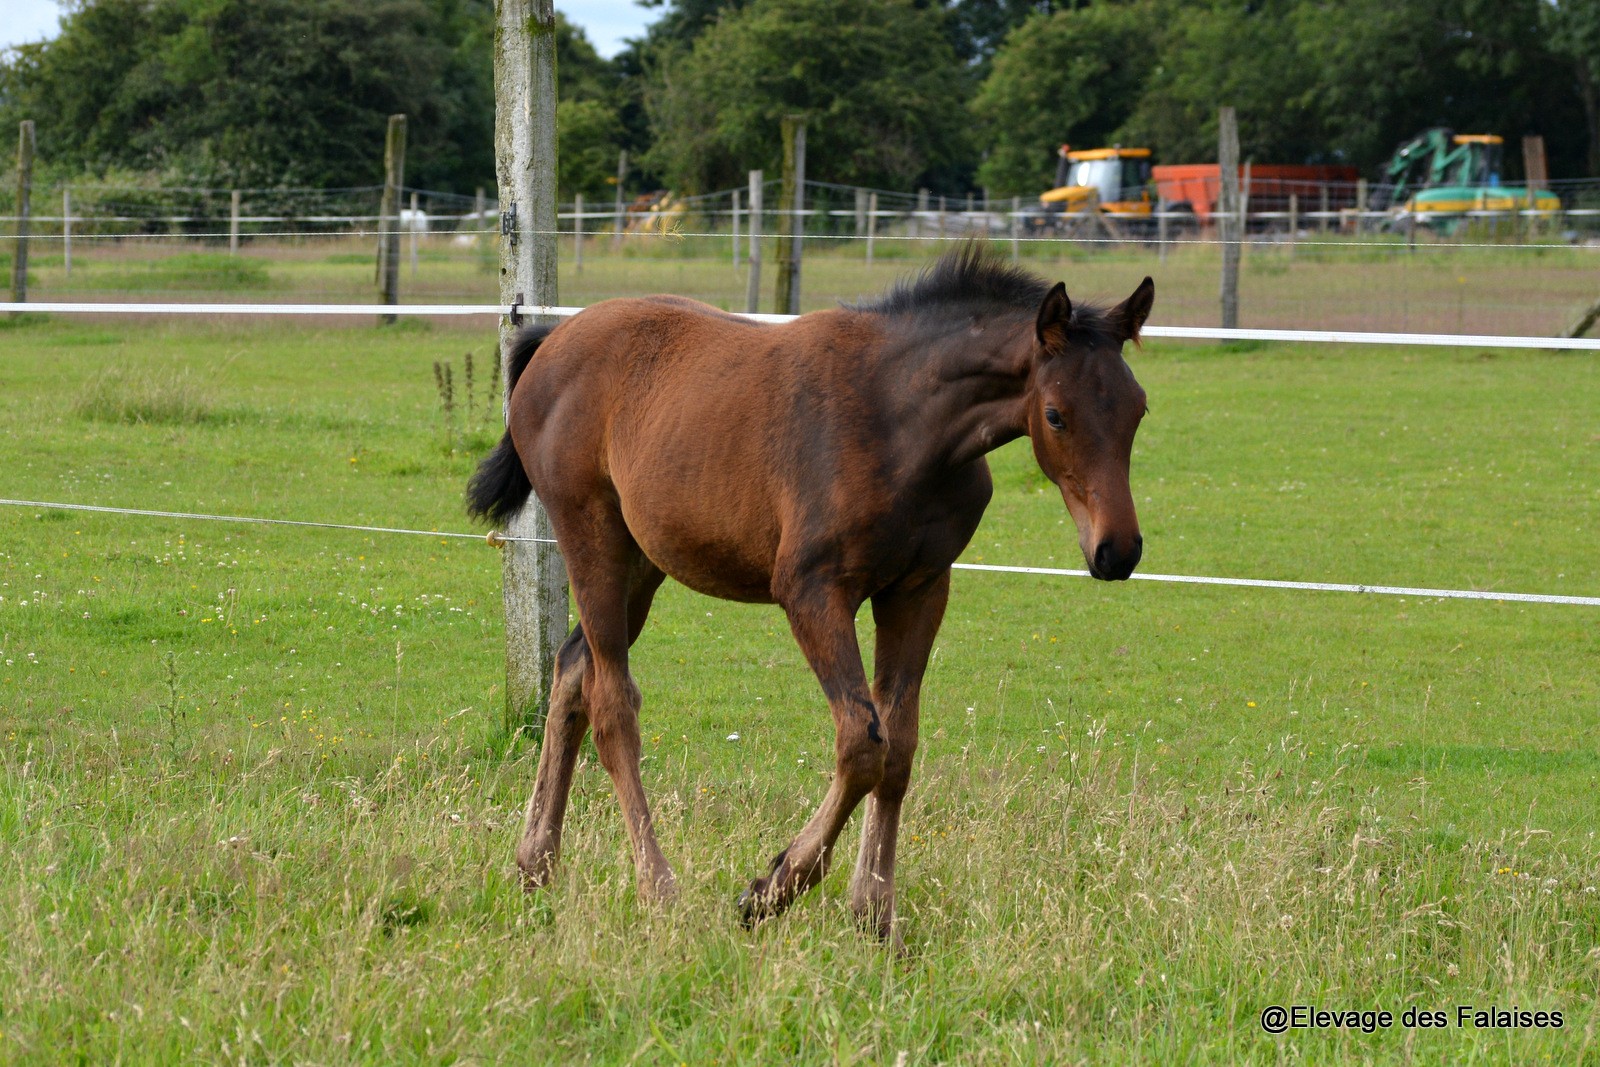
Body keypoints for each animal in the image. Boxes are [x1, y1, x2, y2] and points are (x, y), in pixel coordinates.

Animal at [467, 246, 1158, 940]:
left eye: (1139, 410)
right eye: (1056, 414)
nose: (1117, 551)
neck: (902, 423)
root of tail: (553, 342)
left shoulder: (918, 589)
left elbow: (899, 748)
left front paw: (875, 914)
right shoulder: (812, 592)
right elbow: (862, 743)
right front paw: (773, 888)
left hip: (643, 561)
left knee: (570, 672)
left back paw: (535, 866)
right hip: (593, 538)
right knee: (611, 703)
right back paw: (657, 890)